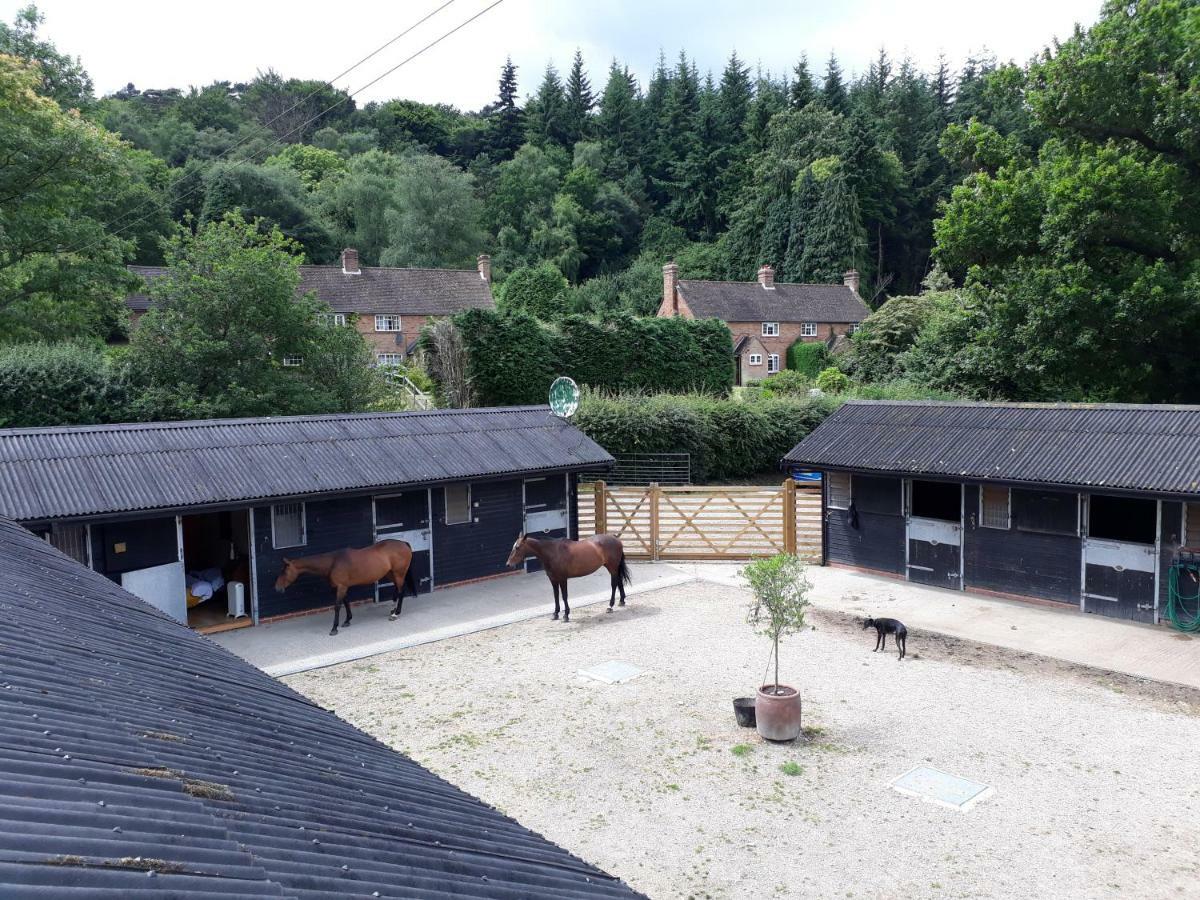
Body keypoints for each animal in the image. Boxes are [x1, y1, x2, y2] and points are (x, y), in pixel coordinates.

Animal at [274, 540, 417, 638]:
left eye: (284, 572)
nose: (277, 588)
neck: (333, 562)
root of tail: (404, 544)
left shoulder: (341, 587)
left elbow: (337, 606)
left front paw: (334, 628)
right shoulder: (341, 587)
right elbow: (346, 602)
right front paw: (348, 620)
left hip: (399, 573)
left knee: (401, 591)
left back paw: (395, 614)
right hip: (391, 573)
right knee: (396, 590)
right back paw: (393, 610)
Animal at [504, 532, 633, 624]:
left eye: (518, 547)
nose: (508, 564)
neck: (553, 552)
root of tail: (615, 538)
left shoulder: (562, 579)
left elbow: (564, 596)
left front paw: (566, 615)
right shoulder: (553, 579)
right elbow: (556, 596)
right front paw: (555, 614)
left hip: (612, 567)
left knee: (614, 584)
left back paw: (610, 606)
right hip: (613, 567)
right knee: (619, 581)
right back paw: (621, 601)